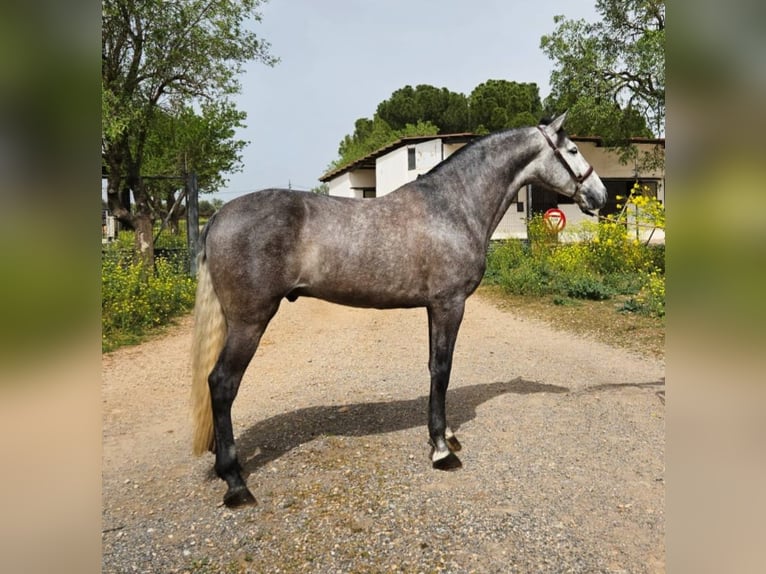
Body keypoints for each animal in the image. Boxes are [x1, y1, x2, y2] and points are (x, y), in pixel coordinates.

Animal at [190, 112, 608, 508]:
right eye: (572, 150)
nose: (600, 195)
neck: (454, 207)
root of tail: (218, 217)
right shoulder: (449, 304)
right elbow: (442, 369)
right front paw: (441, 450)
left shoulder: (434, 307)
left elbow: (435, 367)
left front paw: (447, 435)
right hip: (250, 321)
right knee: (222, 383)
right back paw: (236, 483)